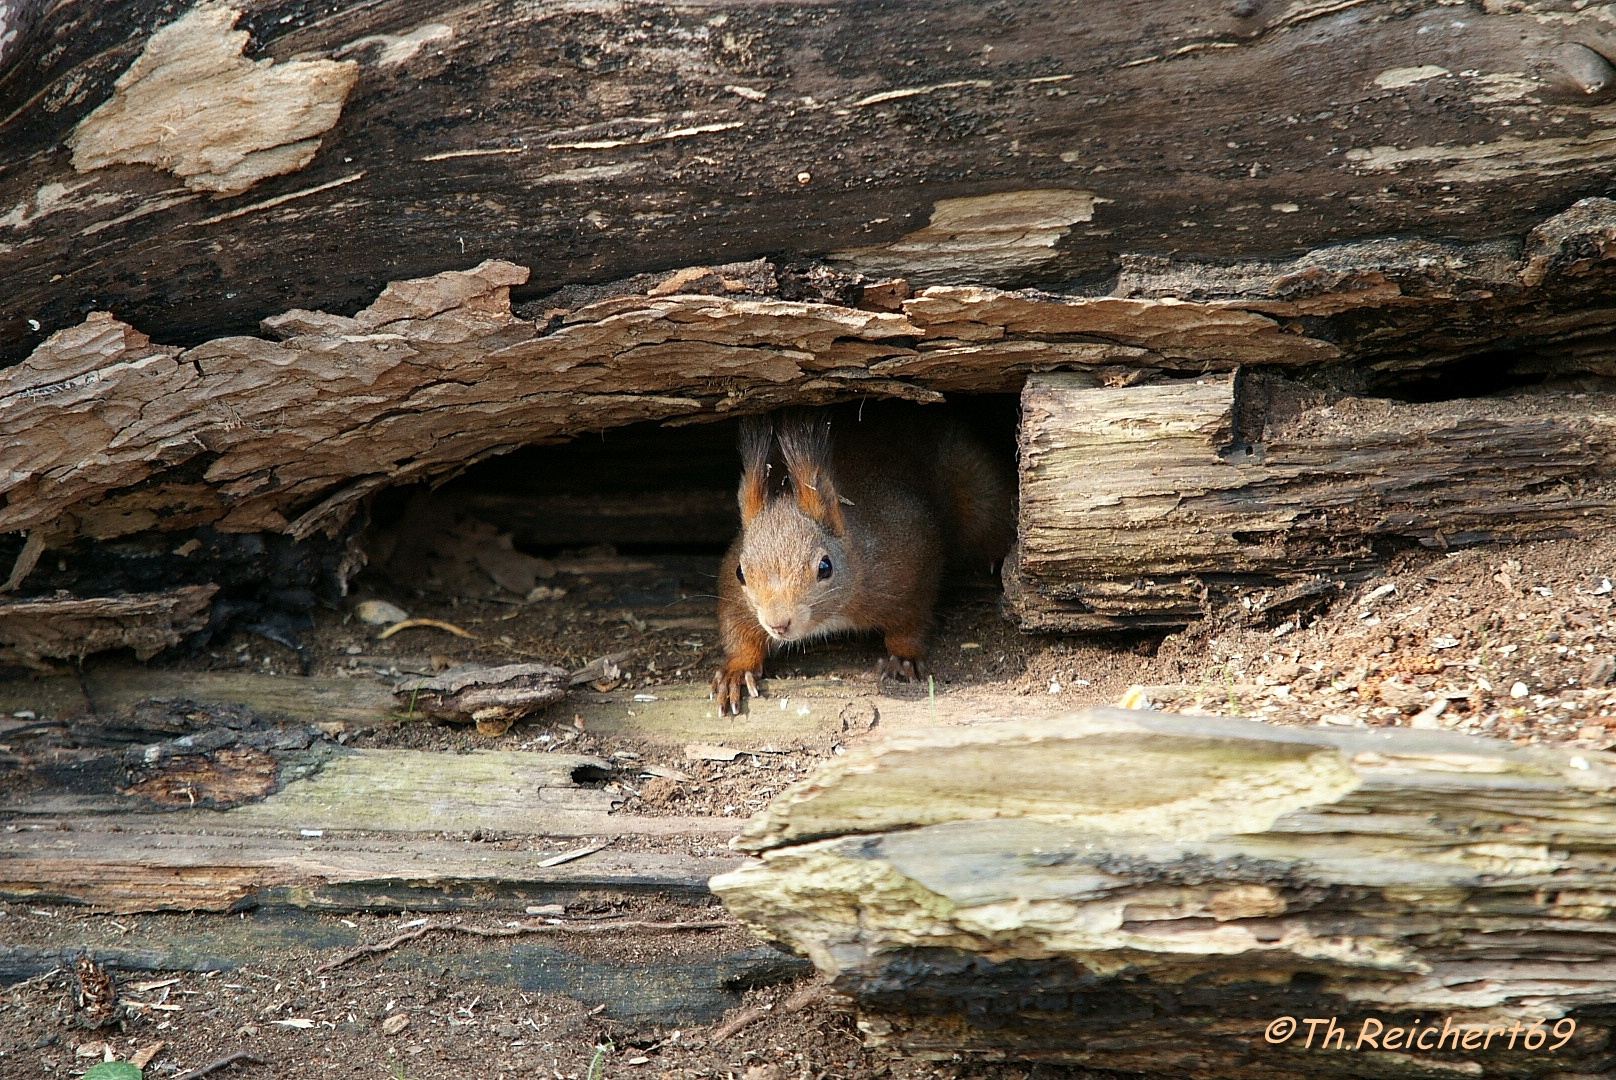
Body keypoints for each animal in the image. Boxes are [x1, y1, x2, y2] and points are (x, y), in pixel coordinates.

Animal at [711, 400, 1008, 711]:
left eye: (825, 567)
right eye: (741, 573)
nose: (778, 624)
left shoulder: (911, 561)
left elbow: (912, 619)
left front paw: (902, 657)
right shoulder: (734, 593)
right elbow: (736, 628)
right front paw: (737, 669)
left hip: (979, 495)